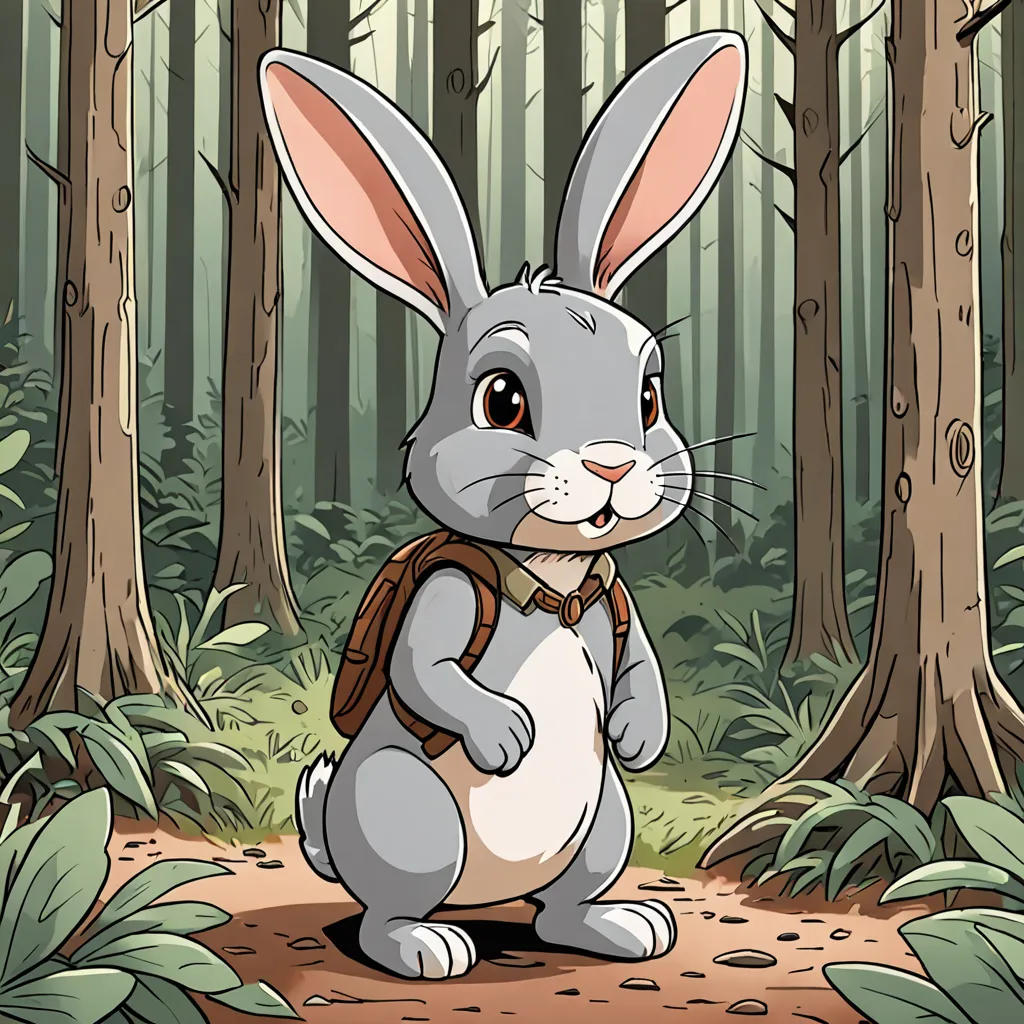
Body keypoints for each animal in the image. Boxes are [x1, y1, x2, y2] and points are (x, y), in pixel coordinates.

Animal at [260, 29, 747, 980]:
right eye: (501, 400)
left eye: (649, 397)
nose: (609, 466)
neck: (549, 580)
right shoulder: (448, 597)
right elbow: (427, 669)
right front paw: (505, 736)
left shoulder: (612, 599)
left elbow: (642, 670)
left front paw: (639, 736)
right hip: (409, 821)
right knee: (385, 913)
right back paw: (427, 947)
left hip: (605, 822)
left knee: (560, 909)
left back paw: (622, 928)